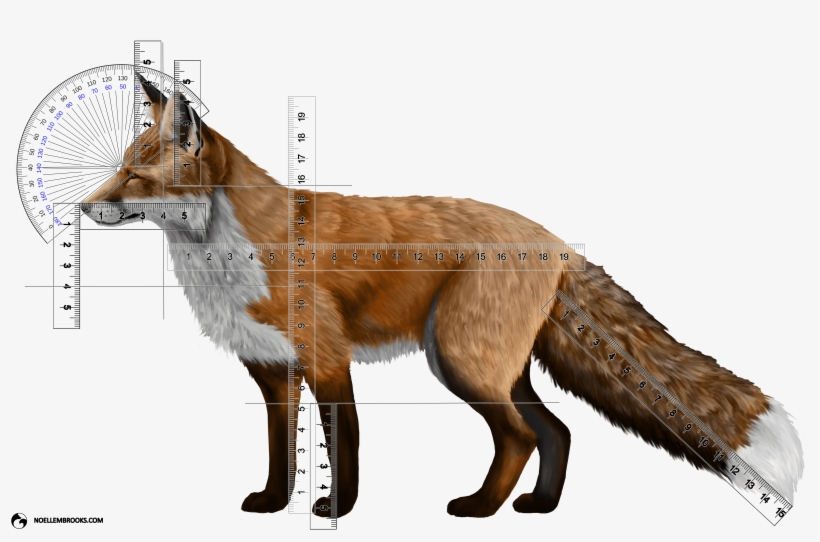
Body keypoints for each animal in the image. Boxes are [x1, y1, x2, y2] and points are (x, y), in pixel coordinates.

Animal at [81, 74, 804, 518]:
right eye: (120, 169)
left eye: (136, 177)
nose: (85, 208)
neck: (228, 251)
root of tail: (556, 241)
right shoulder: (272, 369)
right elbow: (280, 452)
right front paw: (273, 503)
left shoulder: (326, 359)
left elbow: (345, 447)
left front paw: (337, 511)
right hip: (492, 365)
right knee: (558, 431)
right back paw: (539, 508)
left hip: (461, 360)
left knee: (521, 436)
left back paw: (481, 510)